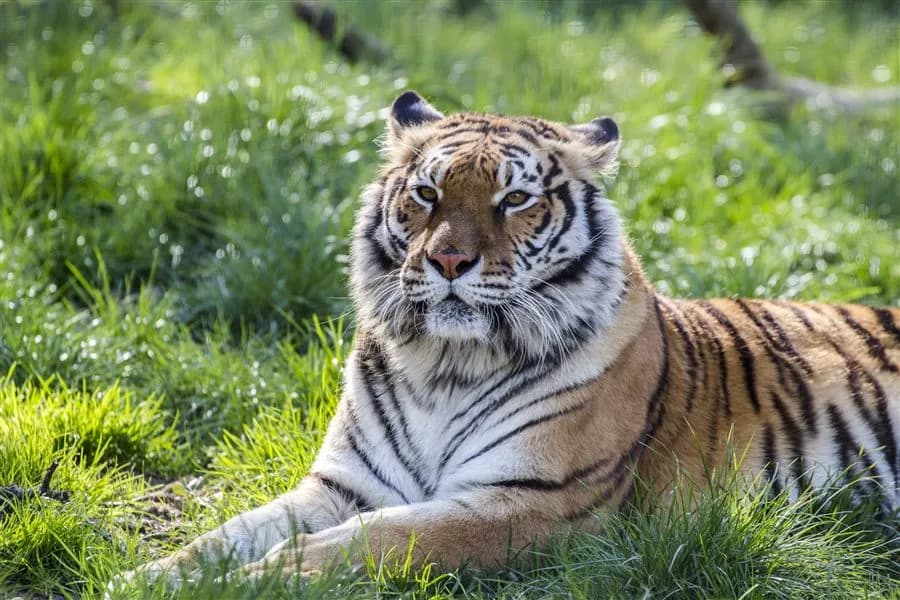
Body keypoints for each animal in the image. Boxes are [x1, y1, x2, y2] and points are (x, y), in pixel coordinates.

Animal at [114, 91, 900, 588]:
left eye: (515, 199)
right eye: (427, 194)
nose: (449, 261)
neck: (442, 364)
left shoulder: (532, 500)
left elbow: (379, 540)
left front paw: (263, 581)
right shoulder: (345, 484)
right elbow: (224, 534)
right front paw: (149, 576)